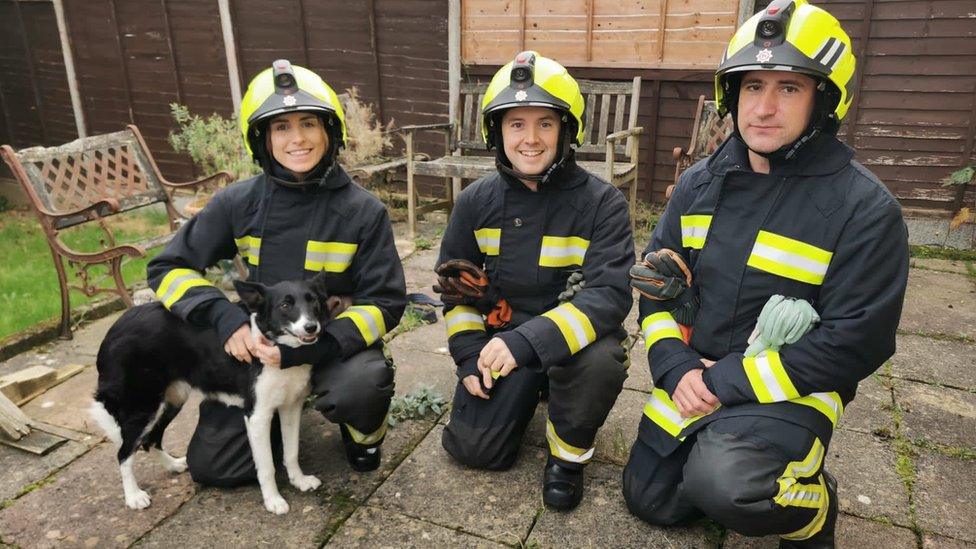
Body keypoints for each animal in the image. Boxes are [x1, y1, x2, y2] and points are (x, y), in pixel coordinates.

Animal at [91, 272, 336, 512]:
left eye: (313, 301)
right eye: (285, 305)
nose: (311, 327)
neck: (280, 347)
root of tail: (115, 328)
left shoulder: (291, 407)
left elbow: (291, 451)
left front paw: (299, 481)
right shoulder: (257, 416)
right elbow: (266, 466)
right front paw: (273, 501)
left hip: (172, 399)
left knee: (151, 440)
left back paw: (173, 465)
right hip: (142, 407)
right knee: (124, 452)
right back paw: (133, 496)